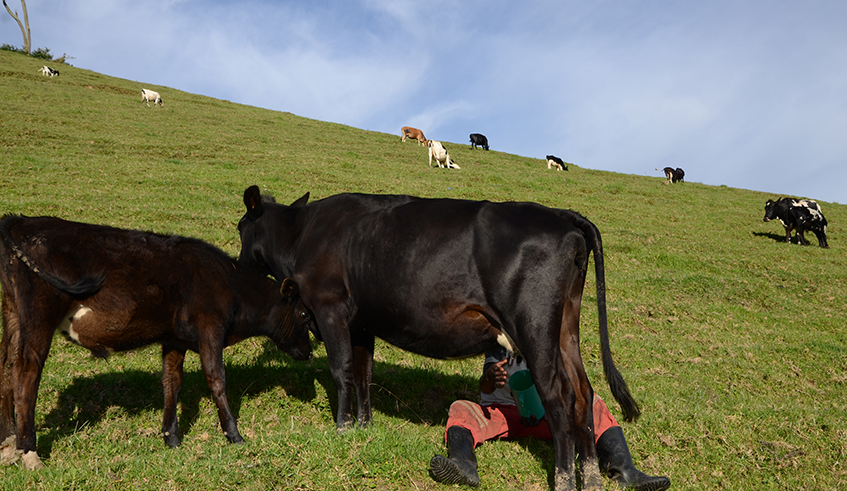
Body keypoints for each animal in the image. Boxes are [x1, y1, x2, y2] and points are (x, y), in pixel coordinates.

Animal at [0, 215, 314, 469]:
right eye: (303, 314)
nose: (310, 353)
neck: (231, 285)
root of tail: (21, 220)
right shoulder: (210, 328)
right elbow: (216, 379)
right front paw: (234, 435)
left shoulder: (174, 338)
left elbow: (171, 382)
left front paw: (171, 438)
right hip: (39, 315)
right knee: (26, 373)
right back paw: (28, 451)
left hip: (12, 314)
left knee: (6, 367)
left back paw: (8, 442)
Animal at [237, 185, 641, 491]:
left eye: (241, 228)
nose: (238, 266)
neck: (301, 235)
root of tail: (560, 214)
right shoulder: (363, 322)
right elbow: (363, 373)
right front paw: (364, 426)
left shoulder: (329, 307)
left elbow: (341, 369)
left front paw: (342, 426)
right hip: (565, 329)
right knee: (583, 393)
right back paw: (591, 480)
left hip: (533, 326)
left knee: (559, 397)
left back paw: (565, 480)